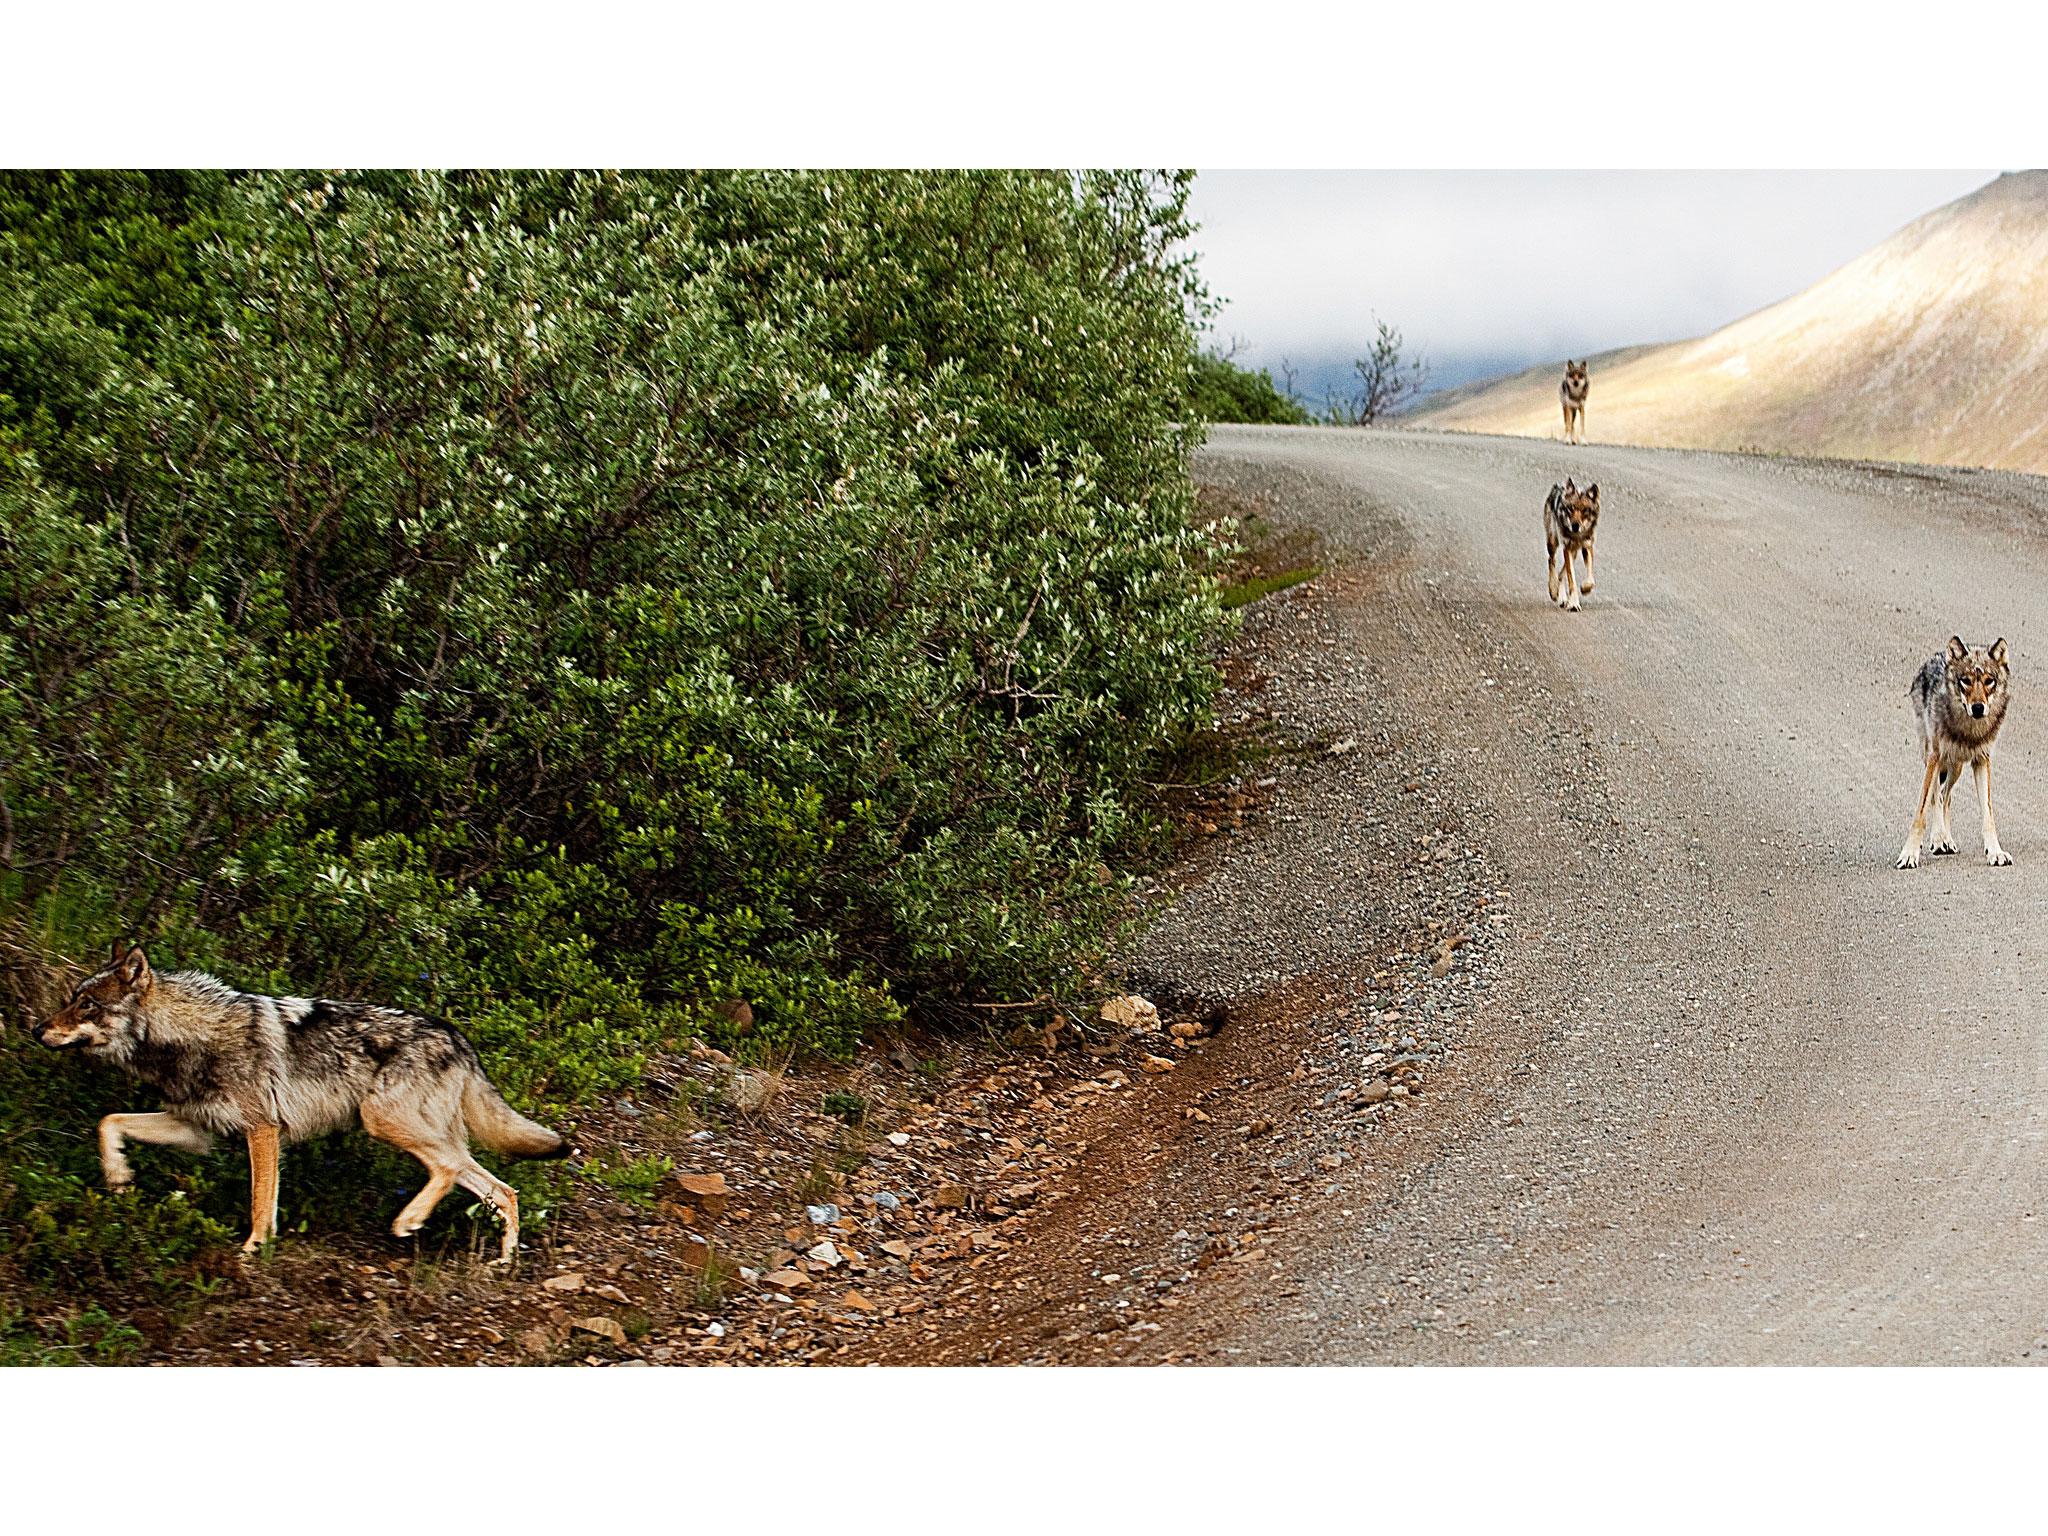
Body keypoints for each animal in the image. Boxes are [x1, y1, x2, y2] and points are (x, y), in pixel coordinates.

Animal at [37, 950, 569, 1261]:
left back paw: (409, 1221)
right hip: (416, 1132)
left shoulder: (263, 1129)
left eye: (87, 1005)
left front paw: (253, 1250)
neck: (184, 1038)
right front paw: (118, 1177)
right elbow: (109, 1121)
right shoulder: (195, 1127)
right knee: (501, 1189)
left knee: (452, 1170)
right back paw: (503, 1261)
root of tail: (459, 1038)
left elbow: (260, 1202)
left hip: (382, 1121)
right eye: (71, 999)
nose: (37, 1030)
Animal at [1540, 475, 1597, 614]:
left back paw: (1562, 597)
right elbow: (1572, 581)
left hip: (1575, 552)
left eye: (1585, 510)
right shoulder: (1567, 548)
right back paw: (1553, 590)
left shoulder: (1587, 546)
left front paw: (1585, 588)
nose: (1575, 526)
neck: (1577, 536)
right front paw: (1574, 604)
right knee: (1551, 561)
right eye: (1571, 508)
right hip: (1553, 542)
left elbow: (1590, 579)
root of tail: (1558, 486)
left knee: (1562, 574)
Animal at [1892, 638, 2007, 872]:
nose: (1978, 708)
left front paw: (1995, 852)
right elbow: (1921, 812)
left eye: (1989, 681)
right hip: (1932, 756)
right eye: (1966, 681)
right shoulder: (1935, 757)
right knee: (1937, 795)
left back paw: (1946, 839)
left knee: (1946, 796)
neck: (1969, 730)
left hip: (1957, 766)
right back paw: (1939, 839)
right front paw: (1909, 854)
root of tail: (1937, 655)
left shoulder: (1982, 759)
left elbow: (1988, 814)